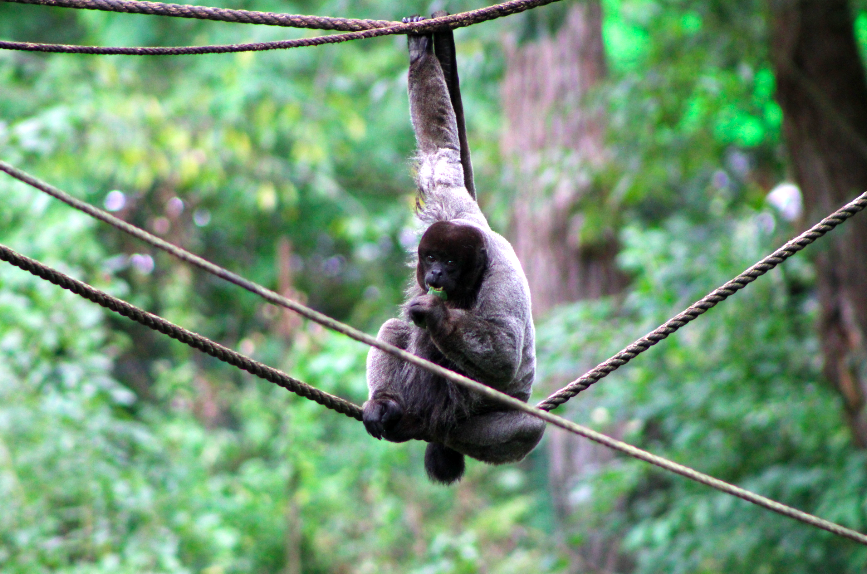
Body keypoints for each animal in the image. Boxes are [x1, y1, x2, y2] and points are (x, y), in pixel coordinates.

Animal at [363, 15, 545, 484]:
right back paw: (387, 406)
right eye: (431, 258)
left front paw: (436, 312)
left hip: (467, 414)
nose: (435, 275)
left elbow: (505, 352)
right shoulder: (453, 205)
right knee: (394, 329)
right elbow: (440, 151)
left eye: (449, 261)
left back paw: (432, 428)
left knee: (527, 425)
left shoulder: (502, 278)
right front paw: (421, 50)